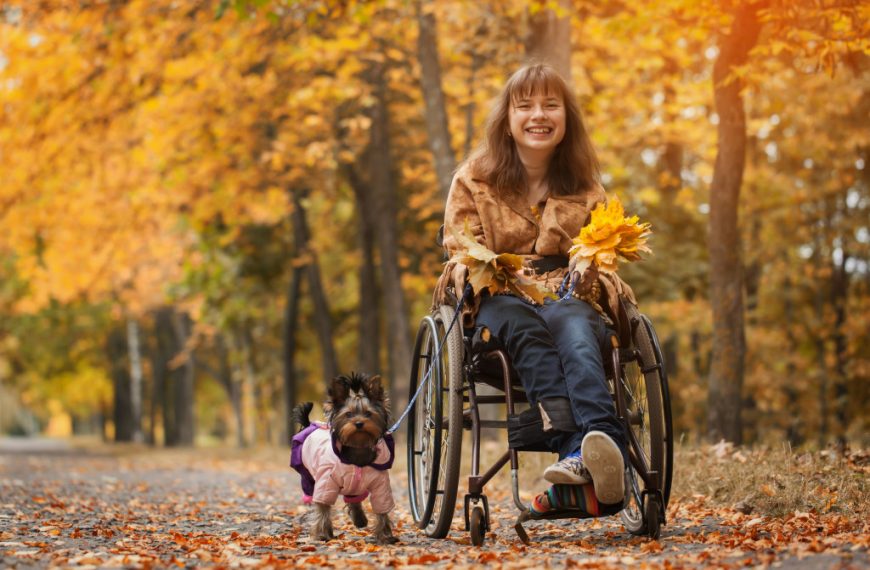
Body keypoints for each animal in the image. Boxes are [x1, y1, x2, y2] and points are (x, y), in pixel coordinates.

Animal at [292, 372, 402, 540]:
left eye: (368, 413)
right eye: (348, 414)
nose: (359, 423)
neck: (358, 448)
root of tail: (309, 425)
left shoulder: (381, 484)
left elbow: (382, 507)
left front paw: (385, 535)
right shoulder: (326, 481)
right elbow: (322, 506)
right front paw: (322, 533)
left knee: (354, 498)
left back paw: (360, 519)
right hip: (308, 476)